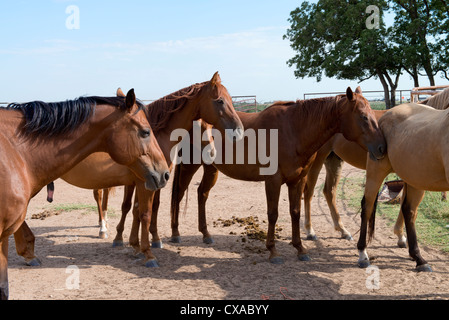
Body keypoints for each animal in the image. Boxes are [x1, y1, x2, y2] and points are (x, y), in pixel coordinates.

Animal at [168, 86, 384, 264]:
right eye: (363, 116)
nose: (381, 148)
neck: (293, 130)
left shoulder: (297, 181)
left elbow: (295, 212)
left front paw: (300, 249)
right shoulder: (273, 181)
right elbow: (273, 214)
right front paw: (273, 252)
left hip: (211, 168)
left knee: (202, 194)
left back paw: (206, 234)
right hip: (190, 165)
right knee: (178, 194)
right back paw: (175, 233)